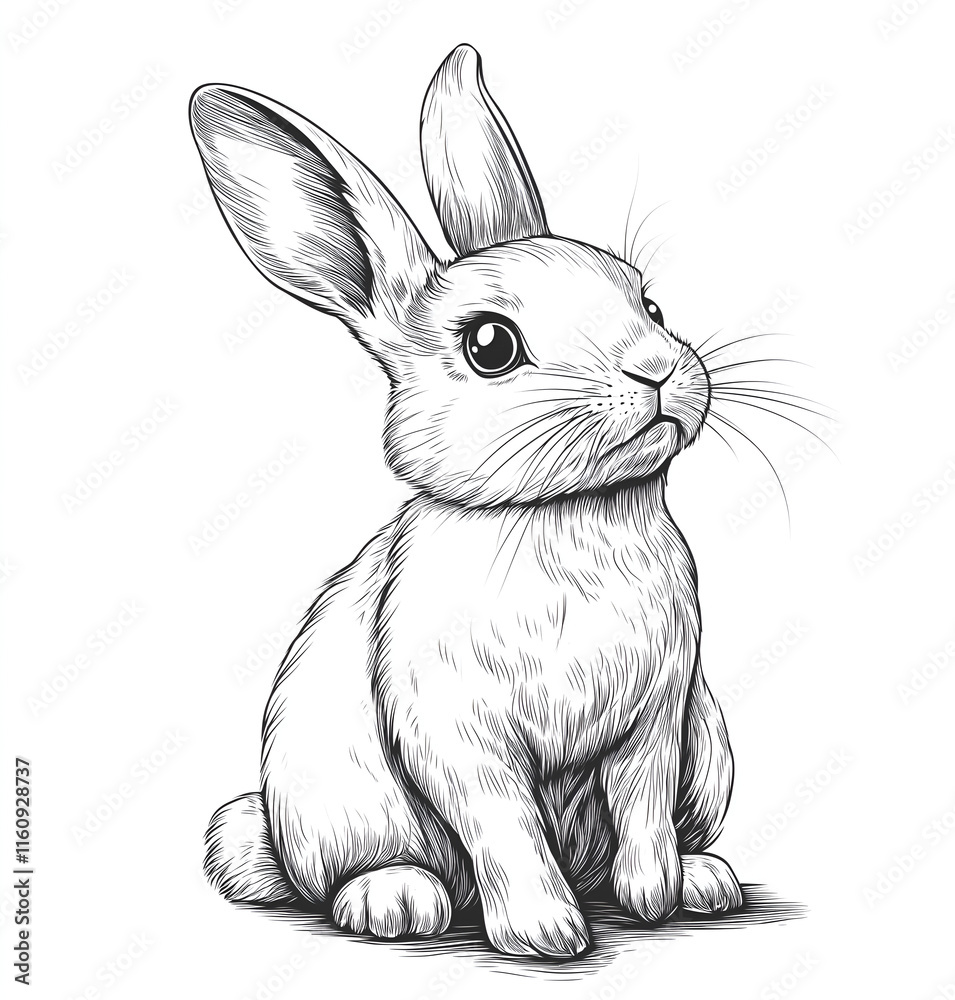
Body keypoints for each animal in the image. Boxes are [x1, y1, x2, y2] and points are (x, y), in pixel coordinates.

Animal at [191, 42, 741, 958]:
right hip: (340, 803)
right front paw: (545, 934)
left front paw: (653, 897)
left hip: (710, 750)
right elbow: (504, 822)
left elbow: (641, 810)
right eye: (489, 345)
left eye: (649, 302)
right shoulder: (453, 727)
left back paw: (703, 882)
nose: (657, 368)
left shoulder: (657, 717)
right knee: (371, 867)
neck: (561, 513)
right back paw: (394, 902)